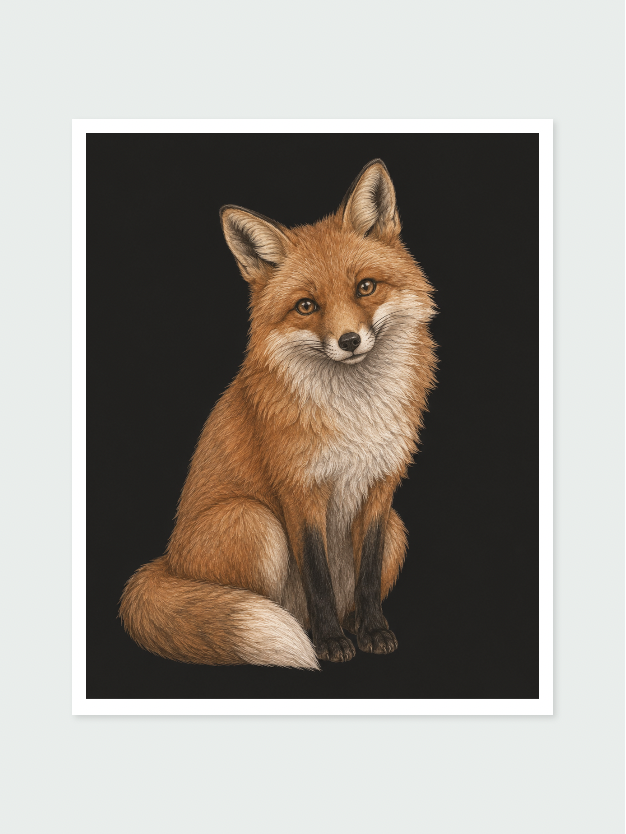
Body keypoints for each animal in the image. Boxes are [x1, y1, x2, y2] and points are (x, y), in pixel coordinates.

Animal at [120, 159, 437, 669]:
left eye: (365, 287)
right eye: (306, 306)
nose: (349, 341)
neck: (355, 416)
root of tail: (165, 562)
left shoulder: (380, 489)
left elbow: (366, 578)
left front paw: (373, 631)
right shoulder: (298, 491)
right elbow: (317, 577)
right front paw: (329, 644)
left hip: (397, 530)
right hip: (256, 522)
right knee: (263, 605)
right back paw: (294, 630)